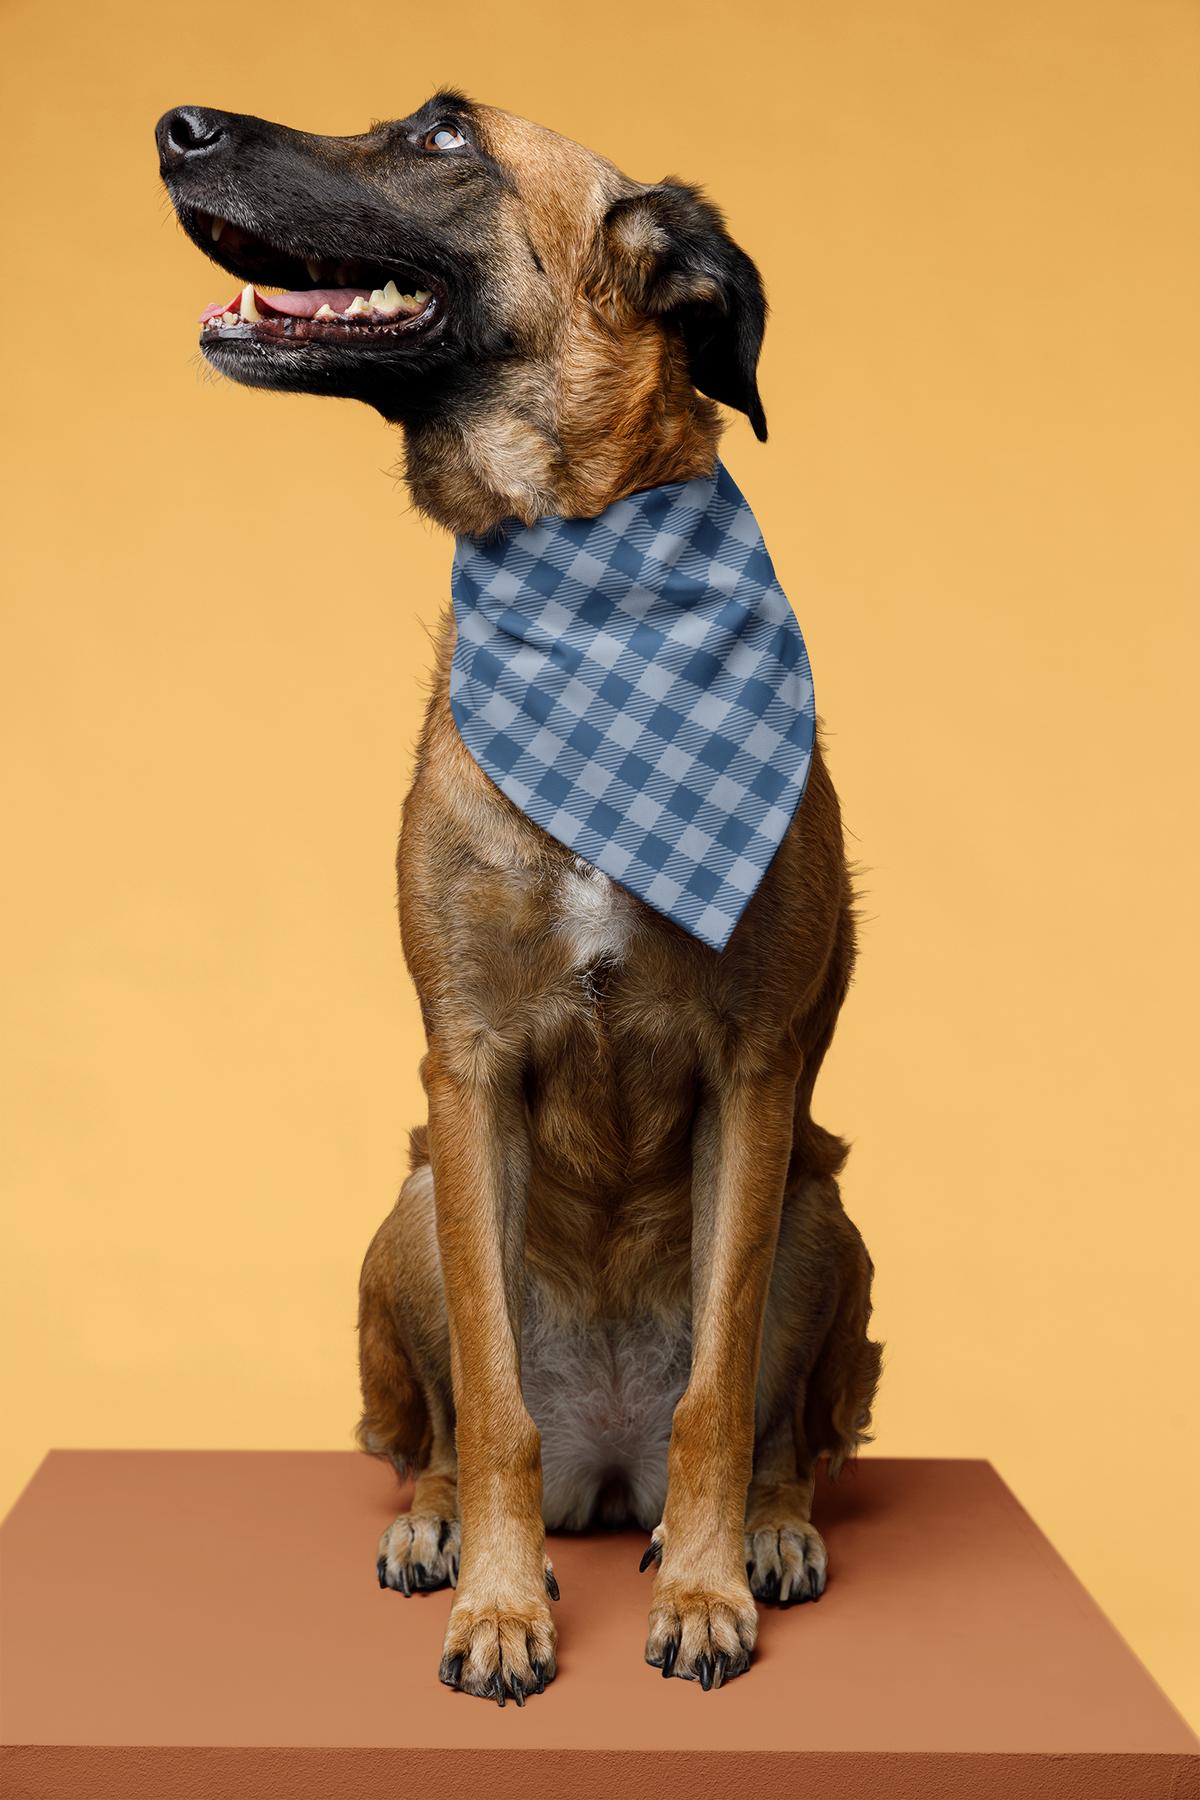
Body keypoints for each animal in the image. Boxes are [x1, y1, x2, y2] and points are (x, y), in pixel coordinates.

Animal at [157, 91, 881, 1706]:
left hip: (823, 1209)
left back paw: (771, 1532)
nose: (177, 126)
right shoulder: (469, 1066)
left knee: (785, 1431)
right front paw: (497, 1606)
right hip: (413, 1202)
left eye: (441, 136)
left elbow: (720, 1389)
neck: (581, 569)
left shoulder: (756, 1077)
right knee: (427, 1428)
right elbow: (489, 1403)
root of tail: (602, 1477)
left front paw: (703, 1588)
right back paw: (440, 1525)